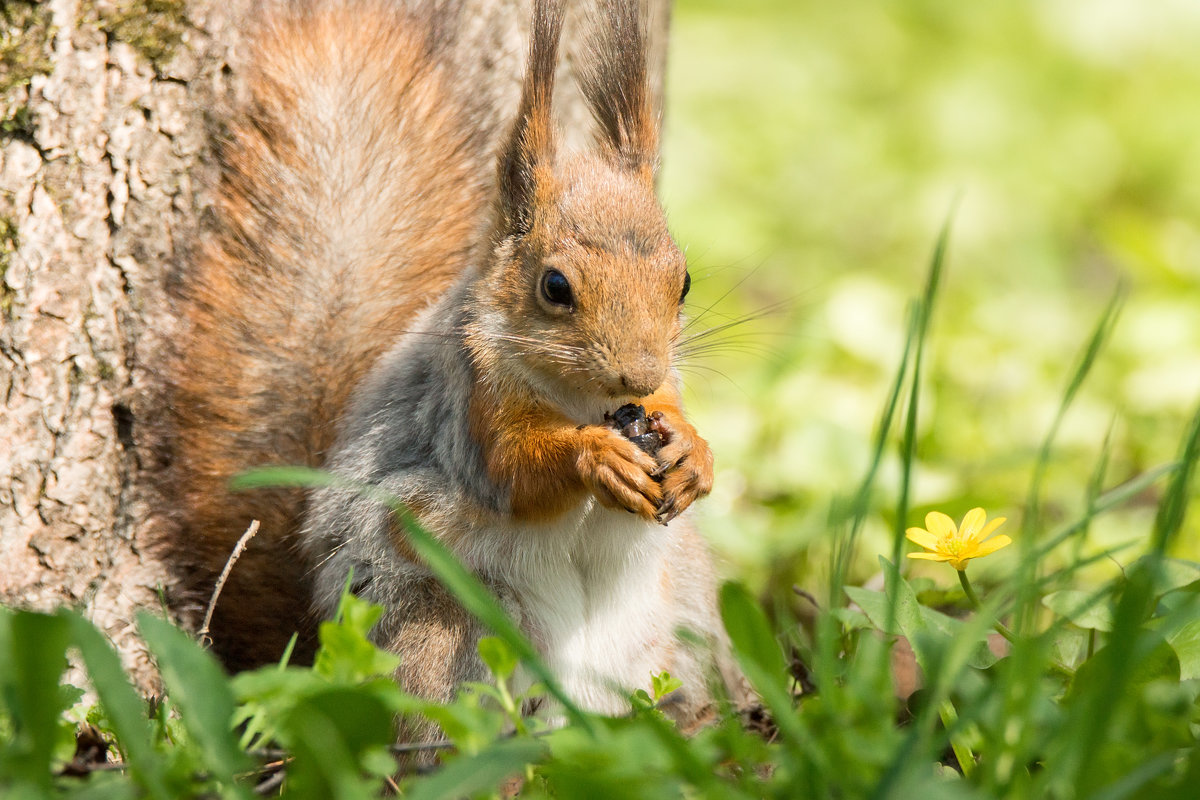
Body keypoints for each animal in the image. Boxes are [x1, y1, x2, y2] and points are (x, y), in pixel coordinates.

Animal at [166, 0, 748, 734]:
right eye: (555, 287)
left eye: (685, 282)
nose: (637, 374)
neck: (582, 399)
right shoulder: (469, 399)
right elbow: (512, 473)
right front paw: (595, 457)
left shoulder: (662, 391)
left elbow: (673, 416)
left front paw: (694, 455)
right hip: (442, 637)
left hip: (678, 633)